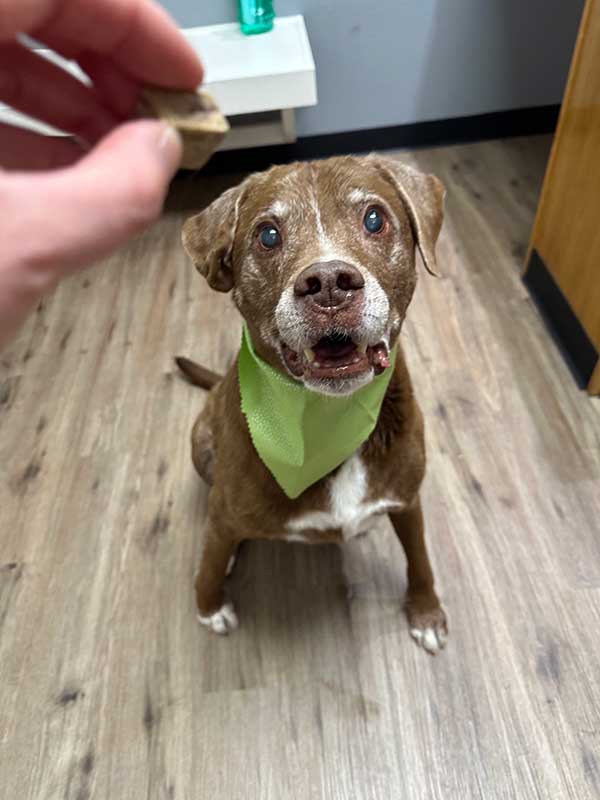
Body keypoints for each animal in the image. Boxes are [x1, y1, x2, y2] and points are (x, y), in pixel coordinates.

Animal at [177, 155, 448, 654]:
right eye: (267, 234)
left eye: (375, 219)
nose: (328, 284)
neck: (329, 418)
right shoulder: (225, 511)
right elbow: (210, 557)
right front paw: (209, 606)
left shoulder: (407, 499)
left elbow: (419, 556)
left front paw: (426, 611)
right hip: (201, 444)